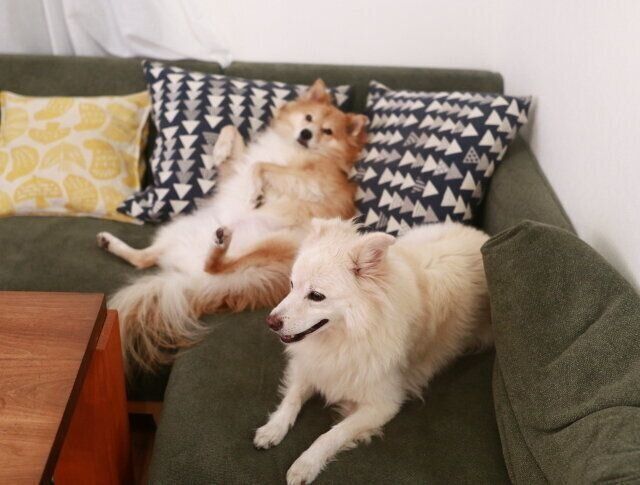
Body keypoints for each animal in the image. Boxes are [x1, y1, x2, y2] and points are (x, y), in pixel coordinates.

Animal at [97, 79, 368, 371]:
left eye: (327, 131)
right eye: (308, 118)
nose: (306, 134)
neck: (294, 148)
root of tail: (192, 277)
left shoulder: (313, 179)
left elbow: (260, 165)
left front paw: (255, 193)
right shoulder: (238, 165)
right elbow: (233, 133)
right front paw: (221, 150)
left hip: (275, 241)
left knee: (215, 266)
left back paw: (220, 245)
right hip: (181, 228)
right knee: (145, 259)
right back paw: (110, 242)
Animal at [254, 218, 493, 485]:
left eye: (316, 296)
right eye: (292, 285)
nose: (270, 322)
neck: (345, 338)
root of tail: (481, 236)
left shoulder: (384, 404)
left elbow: (332, 434)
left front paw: (306, 464)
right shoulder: (312, 366)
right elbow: (292, 398)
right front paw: (272, 428)